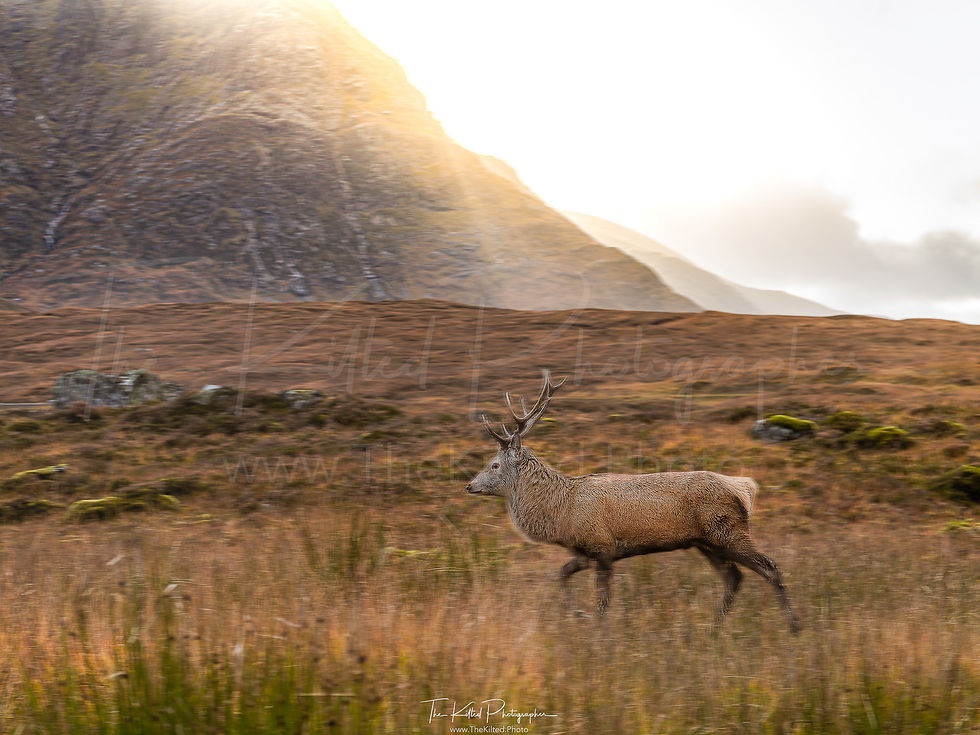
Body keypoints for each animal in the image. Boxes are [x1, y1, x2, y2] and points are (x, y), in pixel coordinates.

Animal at [465, 371, 800, 634]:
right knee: (734, 578)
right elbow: (561, 575)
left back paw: (794, 627)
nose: (469, 486)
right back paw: (713, 629)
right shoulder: (584, 552)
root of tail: (744, 487)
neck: (561, 514)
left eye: (494, 464)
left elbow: (603, 600)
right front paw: (578, 615)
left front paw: (600, 633)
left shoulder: (602, 547)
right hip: (707, 543)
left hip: (729, 532)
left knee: (770, 567)